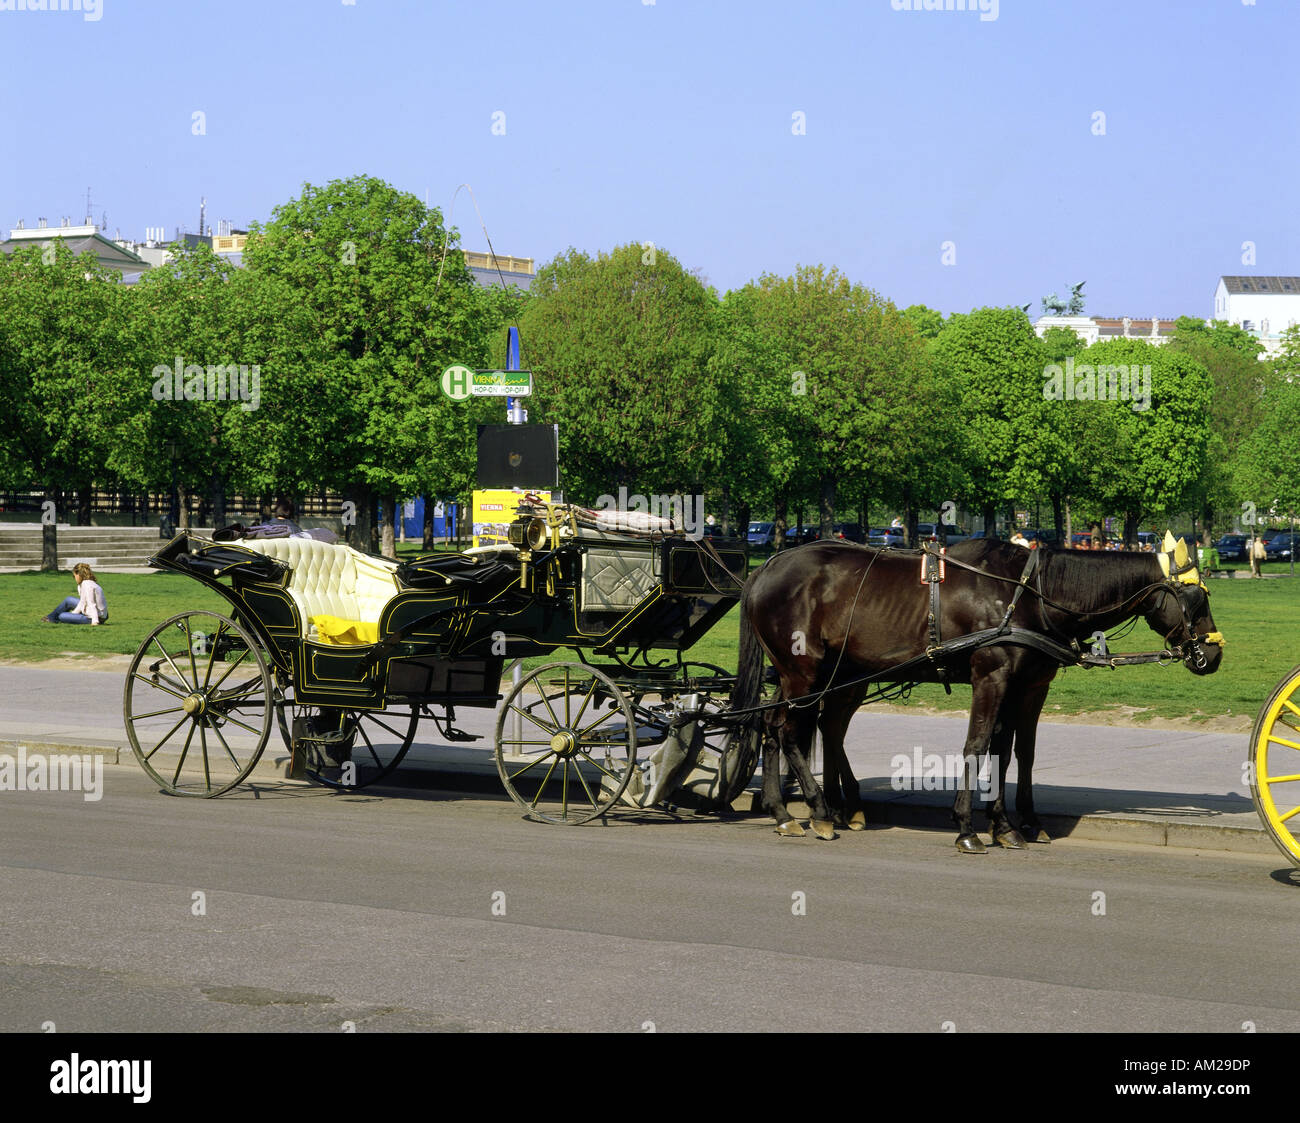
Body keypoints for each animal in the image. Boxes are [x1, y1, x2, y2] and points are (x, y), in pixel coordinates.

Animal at [738, 538, 1222, 852]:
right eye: (1197, 598)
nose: (1214, 653)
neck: (1030, 594)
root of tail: (764, 568)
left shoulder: (1030, 685)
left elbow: (1014, 752)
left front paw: (1014, 823)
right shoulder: (992, 676)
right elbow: (976, 745)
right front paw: (968, 826)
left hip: (832, 674)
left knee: (796, 727)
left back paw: (795, 810)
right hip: (803, 671)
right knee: (787, 729)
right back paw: (817, 811)